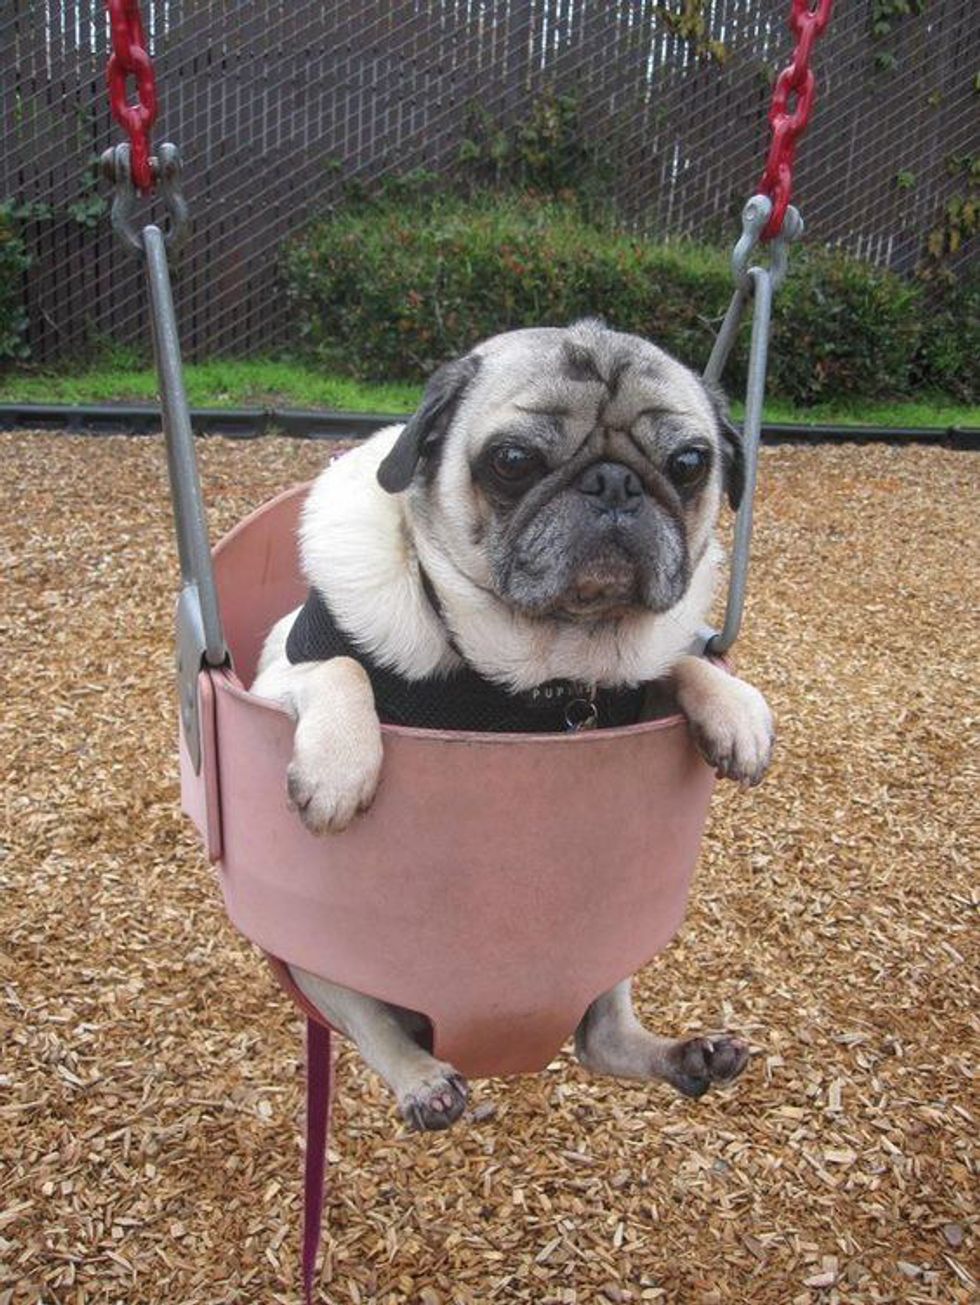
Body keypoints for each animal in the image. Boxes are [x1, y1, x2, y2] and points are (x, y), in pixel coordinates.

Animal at [252, 320, 773, 1131]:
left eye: (689, 464)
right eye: (513, 461)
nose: (615, 483)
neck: (543, 672)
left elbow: (677, 665)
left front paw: (734, 705)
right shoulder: (270, 677)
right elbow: (341, 669)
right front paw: (340, 768)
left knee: (600, 1037)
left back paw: (689, 1056)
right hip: (318, 951)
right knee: (373, 1021)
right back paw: (424, 1080)